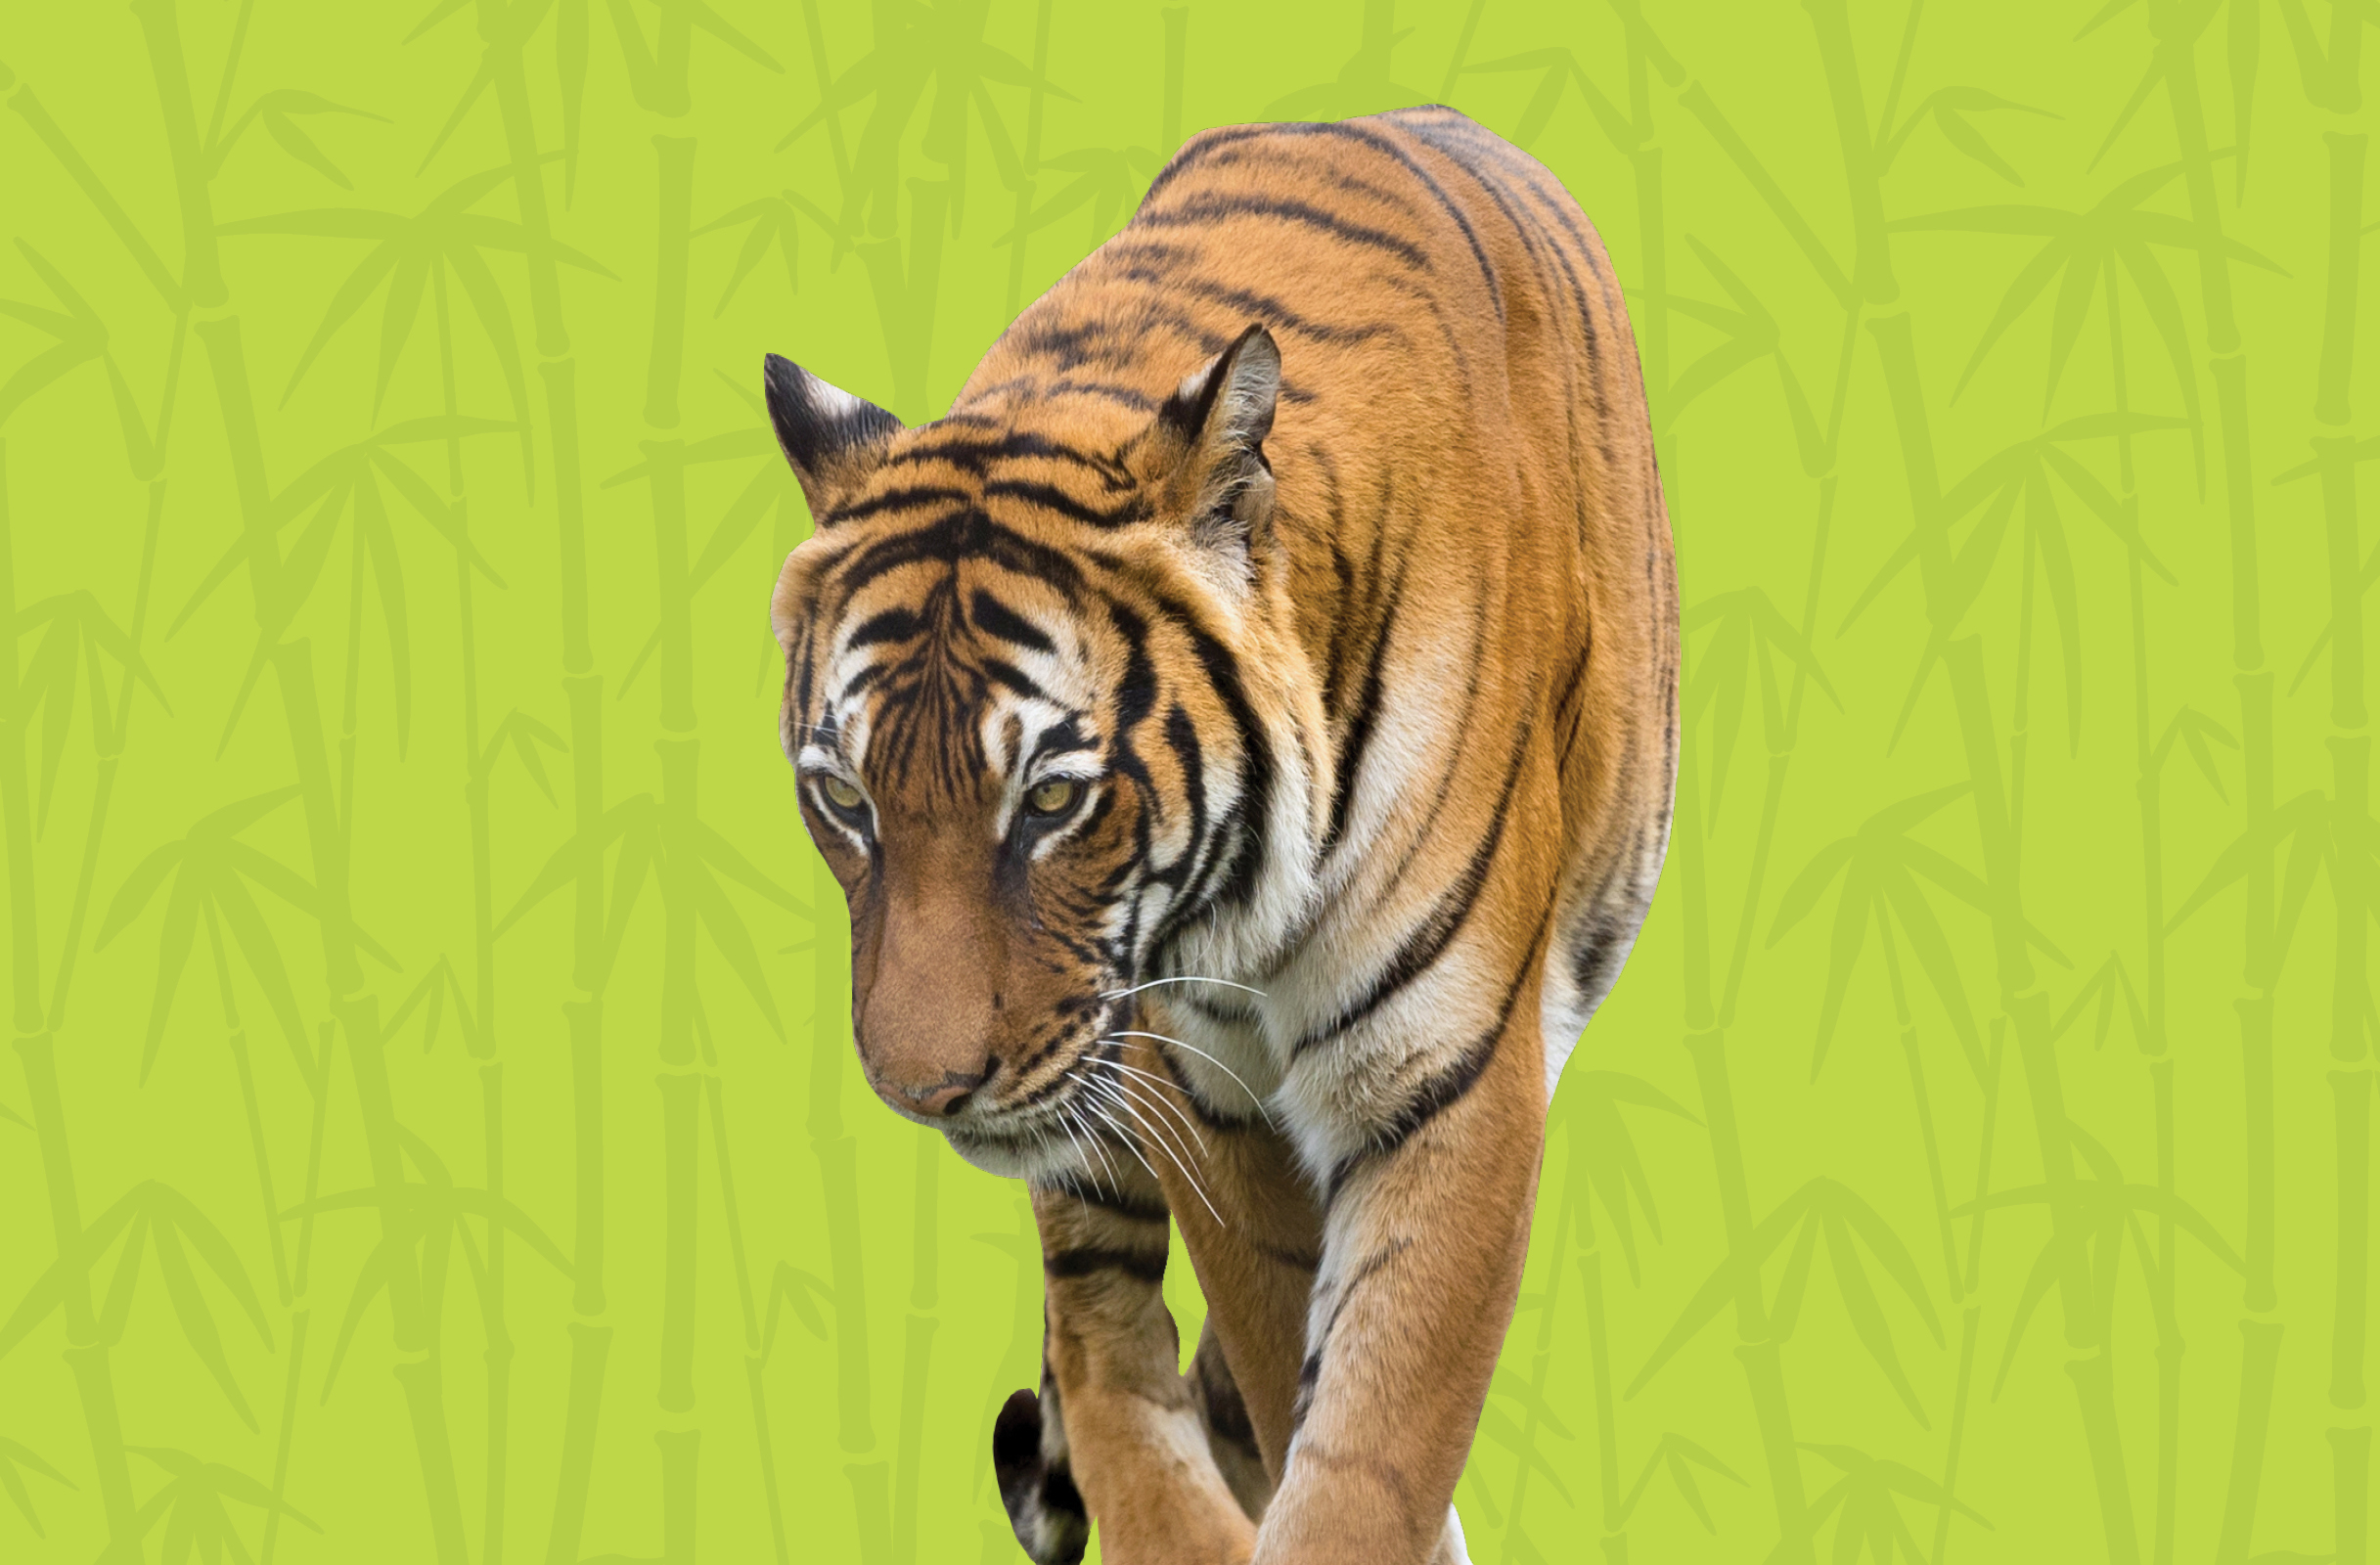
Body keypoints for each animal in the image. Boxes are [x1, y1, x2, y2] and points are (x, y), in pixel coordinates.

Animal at [763, 104, 1677, 1565]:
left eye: (1053, 800)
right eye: (845, 798)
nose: (923, 1092)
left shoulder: (1449, 1079)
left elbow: (1369, 1450)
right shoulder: (1205, 1084)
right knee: (1098, 1326)